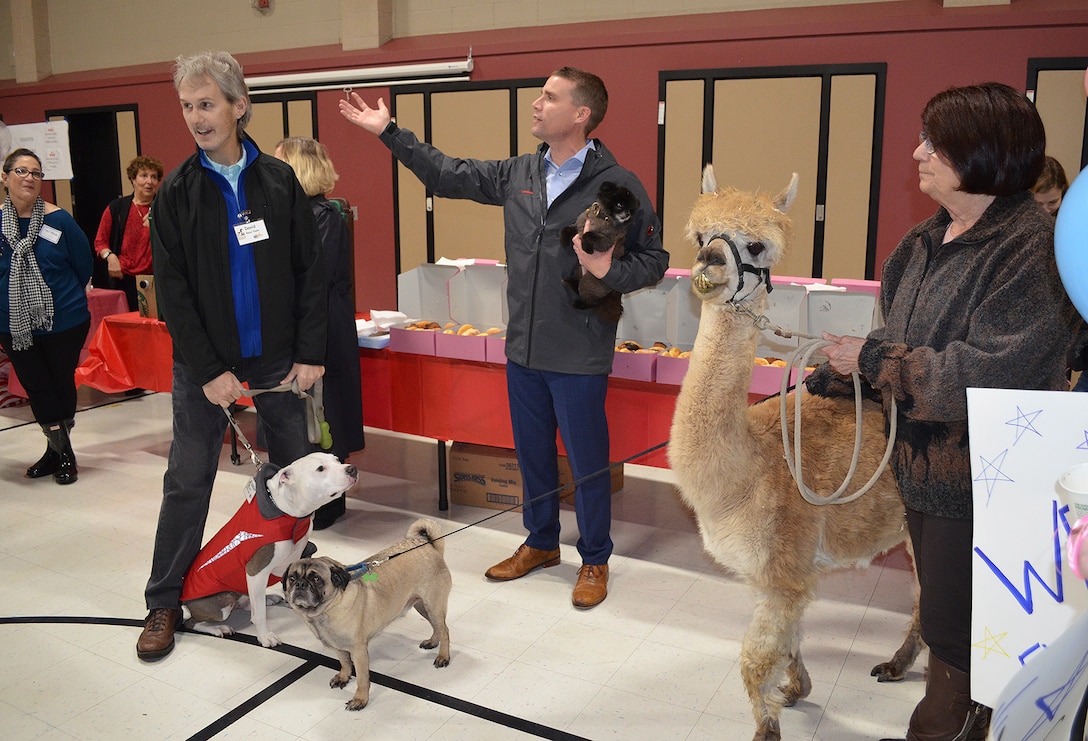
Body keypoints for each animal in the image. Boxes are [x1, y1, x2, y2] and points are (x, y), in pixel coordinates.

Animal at [561, 180, 635, 322]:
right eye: (619, 205)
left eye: (630, 210)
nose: (628, 214)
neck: (602, 216)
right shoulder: (580, 225)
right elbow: (568, 229)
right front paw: (563, 239)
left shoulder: (607, 241)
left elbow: (588, 235)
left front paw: (586, 248)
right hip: (578, 270)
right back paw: (570, 282)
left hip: (590, 281)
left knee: (593, 302)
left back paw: (581, 304)